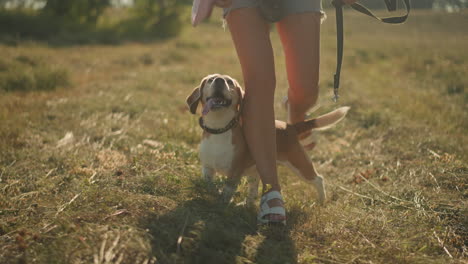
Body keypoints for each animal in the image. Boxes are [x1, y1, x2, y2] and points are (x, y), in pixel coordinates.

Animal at [185, 73, 350, 206]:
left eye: (230, 82)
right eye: (210, 80)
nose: (219, 80)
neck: (219, 129)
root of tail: (290, 127)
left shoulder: (234, 173)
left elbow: (227, 191)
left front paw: (222, 204)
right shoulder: (207, 169)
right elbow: (210, 186)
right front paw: (213, 195)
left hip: (300, 165)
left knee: (318, 179)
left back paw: (321, 202)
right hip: (256, 172)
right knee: (253, 192)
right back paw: (246, 204)